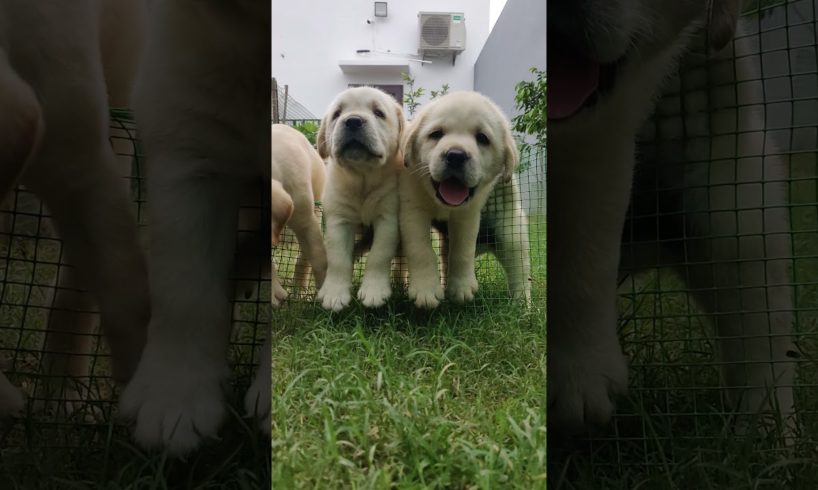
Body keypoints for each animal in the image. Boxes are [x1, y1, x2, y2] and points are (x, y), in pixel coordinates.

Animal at [314, 86, 404, 312]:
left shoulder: (388, 219)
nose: (353, 121)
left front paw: (374, 291)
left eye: (379, 113)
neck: (362, 179)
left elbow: (379, 255)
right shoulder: (339, 221)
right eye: (337, 114)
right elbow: (338, 259)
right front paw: (334, 293)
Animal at [400, 90, 520, 308]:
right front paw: (426, 289)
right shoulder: (412, 210)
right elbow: (421, 249)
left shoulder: (467, 214)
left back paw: (522, 307)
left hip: (512, 233)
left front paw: (461, 287)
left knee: (520, 274)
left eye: (482, 138)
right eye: (436, 134)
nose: (455, 155)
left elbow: (463, 250)